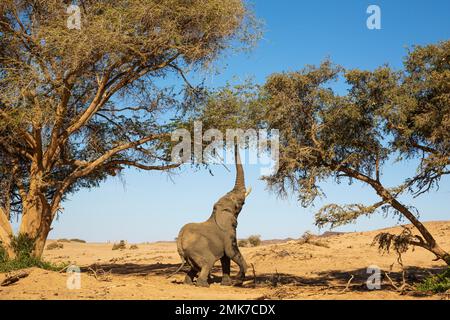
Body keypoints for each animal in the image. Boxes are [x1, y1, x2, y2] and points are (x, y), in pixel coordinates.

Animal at [171, 145, 251, 288]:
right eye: (239, 203)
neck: (217, 211)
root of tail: (179, 242)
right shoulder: (228, 232)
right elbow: (230, 252)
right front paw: (238, 281)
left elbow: (225, 258)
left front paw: (226, 284)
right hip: (198, 249)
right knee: (207, 262)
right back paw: (204, 285)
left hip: (190, 254)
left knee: (195, 267)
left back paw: (189, 283)